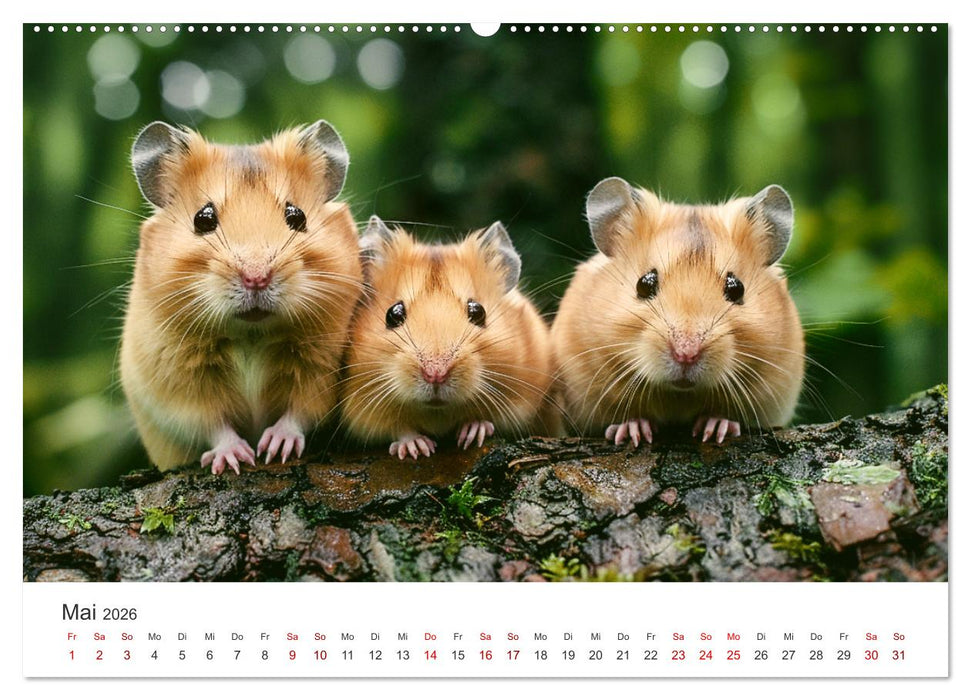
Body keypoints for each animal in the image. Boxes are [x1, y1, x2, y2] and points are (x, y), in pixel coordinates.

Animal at [120, 120, 363, 475]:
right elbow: (213, 424)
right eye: (203, 218)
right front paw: (235, 458)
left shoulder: (320, 369)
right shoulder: (179, 386)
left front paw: (276, 448)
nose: (256, 276)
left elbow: (300, 411)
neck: (251, 333)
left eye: (297, 216)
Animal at [340, 217, 557, 459]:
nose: (436, 374)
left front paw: (472, 432)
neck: (438, 412)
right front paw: (419, 449)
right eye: (393, 314)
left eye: (478, 311)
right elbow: (398, 429)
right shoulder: (363, 411)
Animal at [551, 177, 804, 446]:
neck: (679, 395)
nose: (686, 354)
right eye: (644, 284)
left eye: (737, 288)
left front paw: (716, 428)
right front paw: (633, 431)